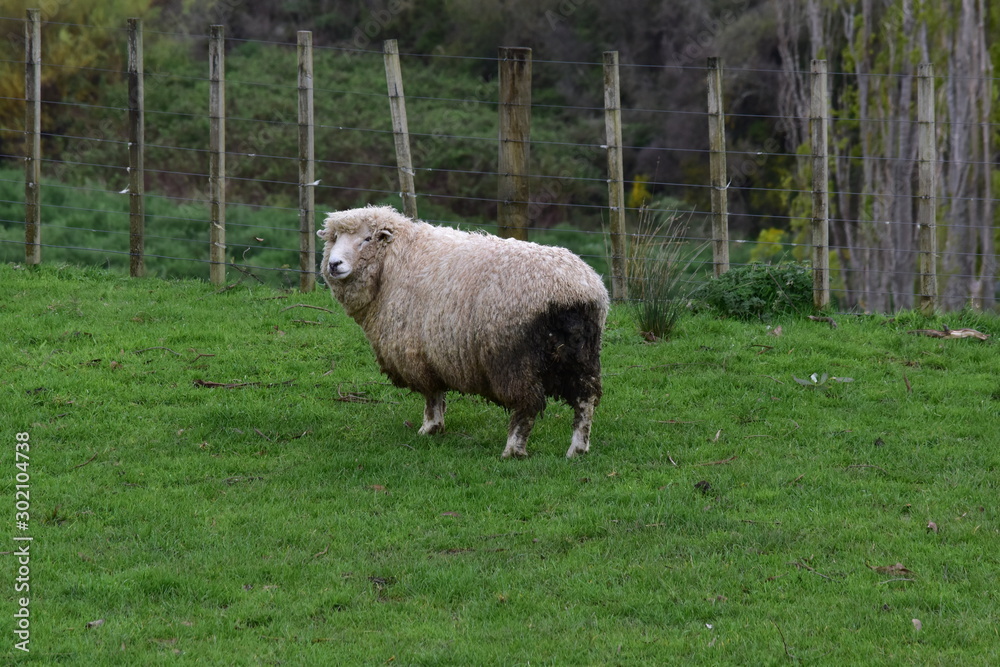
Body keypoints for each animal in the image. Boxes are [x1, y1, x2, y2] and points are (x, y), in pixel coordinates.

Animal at [317, 205, 609, 458]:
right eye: (334, 238)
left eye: (366, 239)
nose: (334, 264)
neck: (393, 263)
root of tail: (574, 290)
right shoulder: (431, 352)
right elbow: (436, 392)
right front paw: (435, 427)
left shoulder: (416, 351)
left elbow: (431, 394)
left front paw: (429, 427)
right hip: (582, 353)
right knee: (586, 398)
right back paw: (577, 449)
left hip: (513, 357)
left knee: (528, 404)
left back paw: (513, 449)